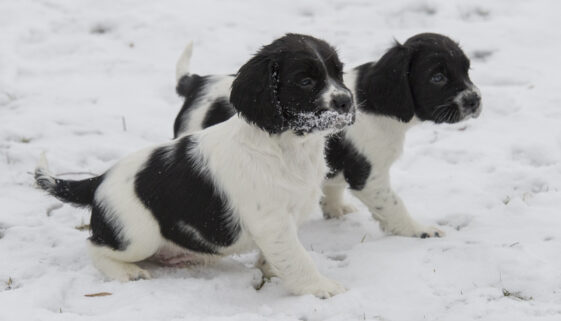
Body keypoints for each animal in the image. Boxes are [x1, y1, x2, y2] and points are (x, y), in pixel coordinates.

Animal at [35, 33, 352, 298]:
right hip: (137, 235)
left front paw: (271, 272)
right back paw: (127, 272)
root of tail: (98, 180)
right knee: (95, 247)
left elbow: (280, 256)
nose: (347, 101)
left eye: (339, 73)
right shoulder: (272, 221)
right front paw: (320, 288)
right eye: (305, 81)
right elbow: (297, 258)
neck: (287, 146)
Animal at [172, 32, 482, 238]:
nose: (475, 100)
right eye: (437, 77)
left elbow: (333, 184)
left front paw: (335, 208)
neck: (376, 103)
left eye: (467, 70)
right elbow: (394, 205)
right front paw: (418, 230)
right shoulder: (371, 177)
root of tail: (196, 83)